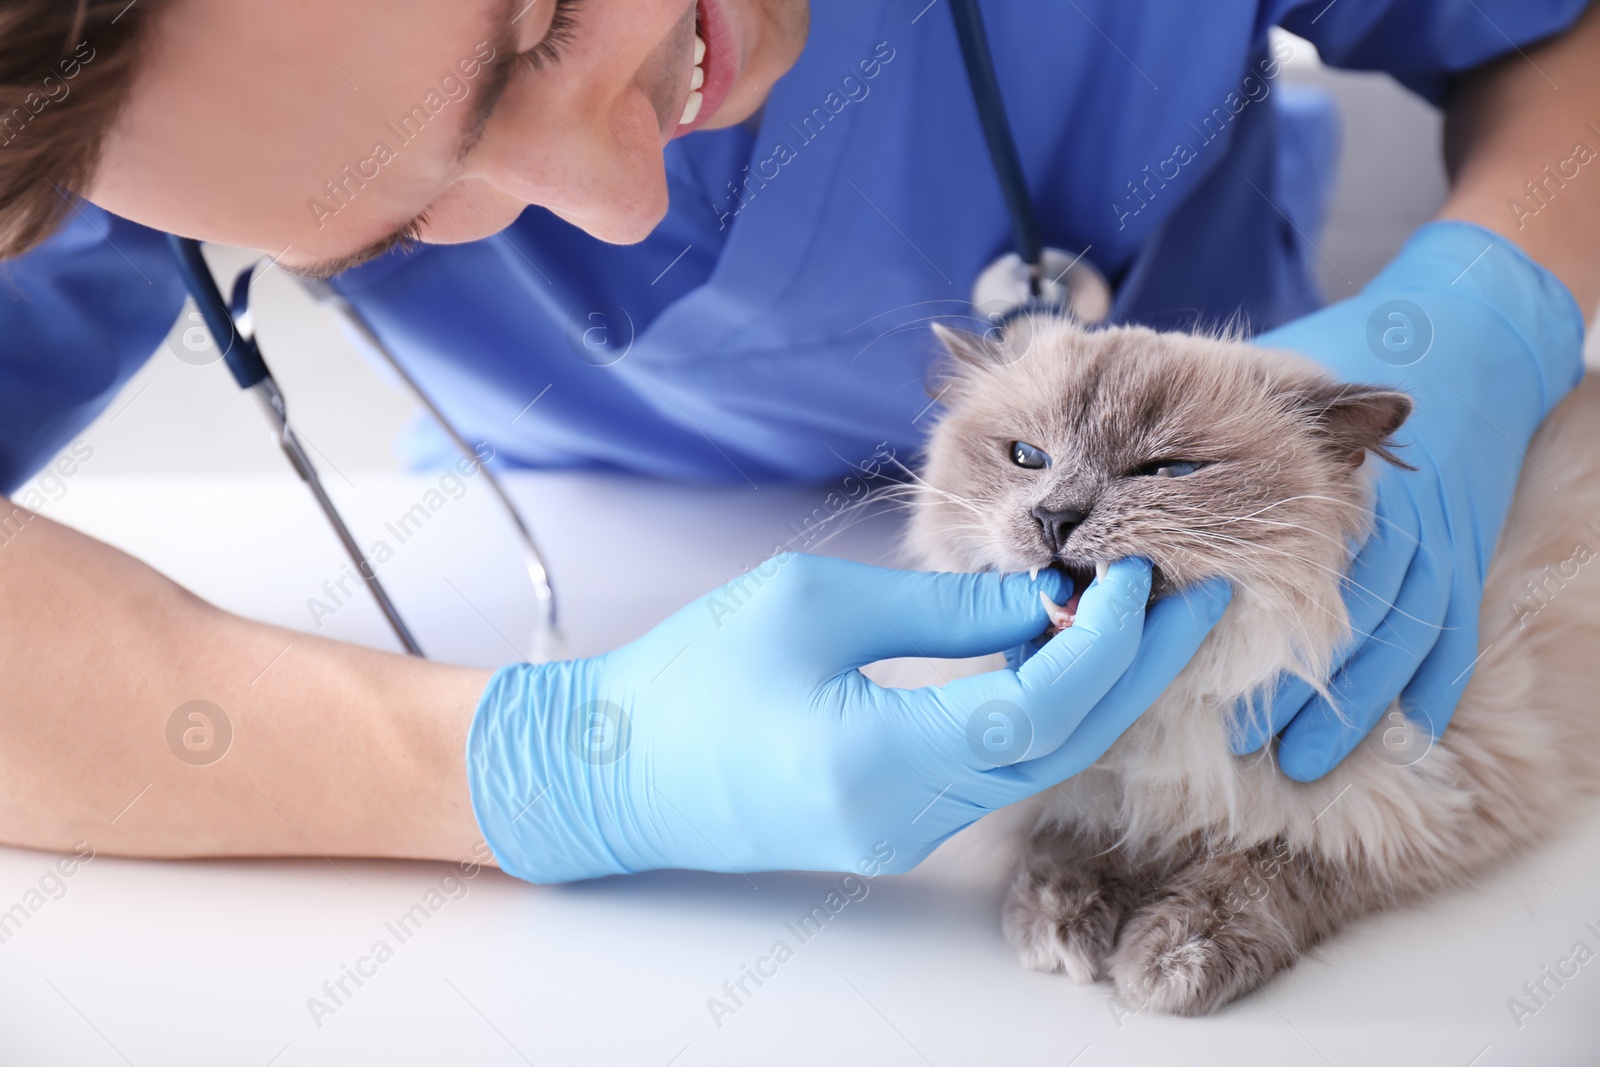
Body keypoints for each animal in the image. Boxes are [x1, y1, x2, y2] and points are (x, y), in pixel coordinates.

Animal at [902, 313, 1600, 1017]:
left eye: (1167, 469)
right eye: (1027, 457)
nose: (1053, 517)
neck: (1167, 707)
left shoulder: (1439, 791)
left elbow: (1269, 868)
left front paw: (1172, 956)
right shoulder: (1086, 787)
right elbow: (1071, 838)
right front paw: (1060, 921)